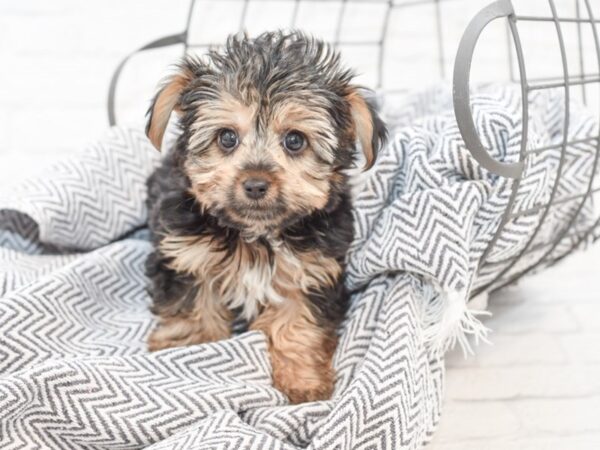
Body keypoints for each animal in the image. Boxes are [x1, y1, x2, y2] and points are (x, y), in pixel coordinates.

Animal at [146, 31, 390, 404]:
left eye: (294, 140)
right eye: (227, 137)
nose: (256, 183)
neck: (255, 234)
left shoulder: (310, 270)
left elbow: (297, 324)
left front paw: (302, 380)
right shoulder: (186, 257)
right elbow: (193, 309)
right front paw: (193, 351)